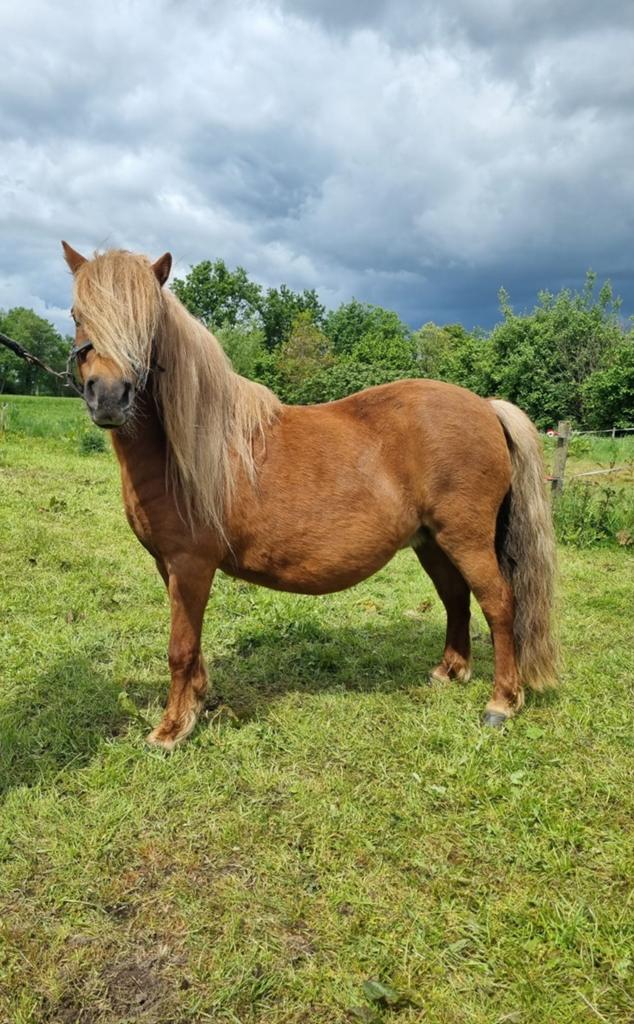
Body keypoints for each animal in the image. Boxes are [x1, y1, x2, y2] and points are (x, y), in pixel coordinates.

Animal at [61, 242, 558, 750]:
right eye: (78, 313)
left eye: (148, 322)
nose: (108, 397)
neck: (192, 448)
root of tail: (486, 406)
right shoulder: (170, 566)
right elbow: (192, 644)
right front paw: (197, 702)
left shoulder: (191, 564)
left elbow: (179, 647)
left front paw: (171, 729)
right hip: (432, 542)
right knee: (456, 598)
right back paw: (449, 671)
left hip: (467, 540)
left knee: (499, 604)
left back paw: (501, 702)